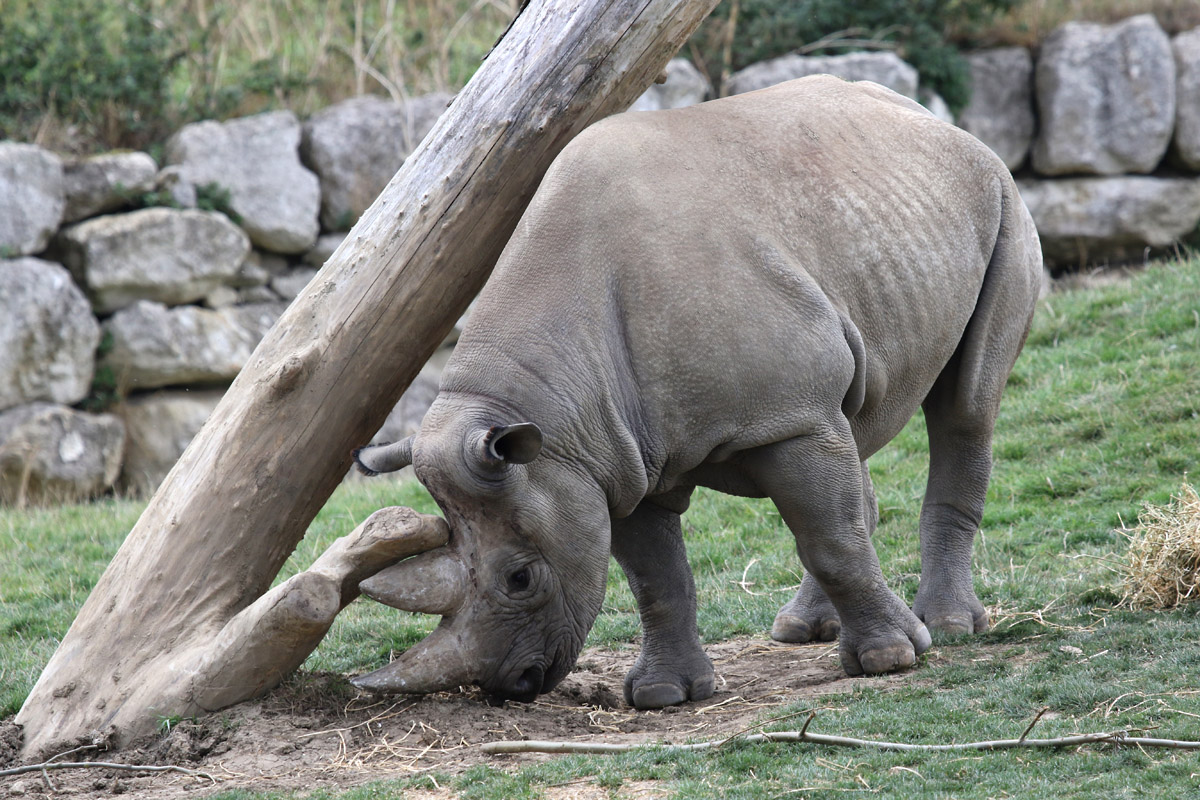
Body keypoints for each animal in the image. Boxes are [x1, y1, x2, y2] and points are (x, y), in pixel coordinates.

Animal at [351, 75, 1042, 709]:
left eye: (520, 579)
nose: (510, 685)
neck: (550, 404)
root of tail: (935, 120)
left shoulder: (778, 415)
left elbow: (830, 540)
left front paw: (890, 660)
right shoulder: (612, 458)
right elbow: (656, 577)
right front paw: (664, 695)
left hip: (1000, 196)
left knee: (965, 407)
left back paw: (947, 627)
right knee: (852, 430)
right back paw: (801, 630)